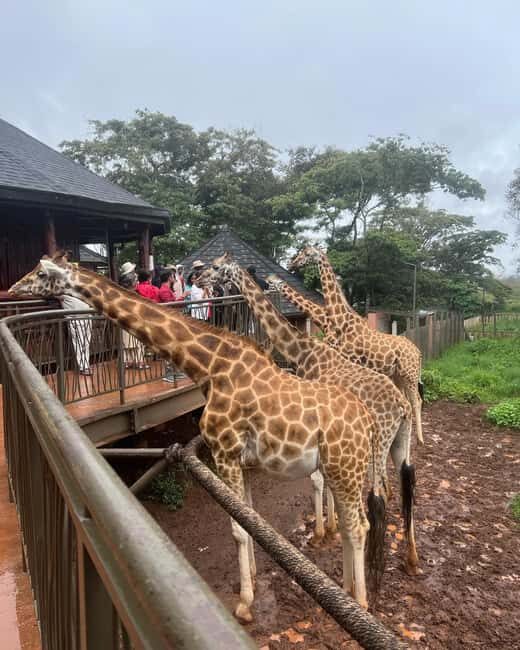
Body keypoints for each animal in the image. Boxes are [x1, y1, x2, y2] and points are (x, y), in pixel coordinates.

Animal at [10, 251, 384, 620]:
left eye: (41, 273)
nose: (13, 289)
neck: (209, 368)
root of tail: (367, 419)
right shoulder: (242, 461)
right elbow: (249, 522)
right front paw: (251, 583)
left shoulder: (224, 452)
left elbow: (237, 531)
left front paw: (245, 605)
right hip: (339, 470)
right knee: (351, 524)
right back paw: (347, 592)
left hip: (345, 469)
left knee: (358, 526)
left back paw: (362, 603)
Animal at [290, 246, 424, 445]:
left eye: (307, 253)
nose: (292, 264)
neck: (342, 320)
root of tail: (418, 352)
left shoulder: (348, 360)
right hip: (399, 375)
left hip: (410, 375)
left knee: (417, 401)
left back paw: (420, 439)